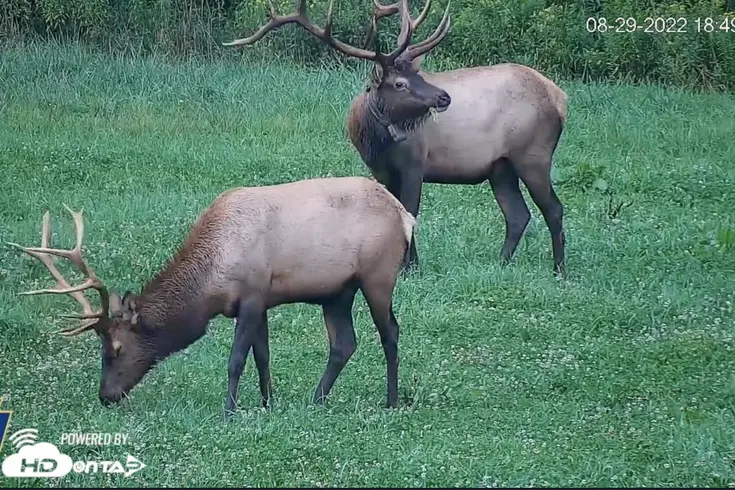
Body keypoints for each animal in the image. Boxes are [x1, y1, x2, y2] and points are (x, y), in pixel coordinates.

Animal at [8, 176, 415, 417]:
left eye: (115, 349)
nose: (105, 396)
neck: (211, 283)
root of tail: (406, 216)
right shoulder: (259, 301)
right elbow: (262, 356)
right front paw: (267, 404)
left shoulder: (251, 296)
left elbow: (236, 359)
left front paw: (229, 411)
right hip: (337, 292)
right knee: (344, 342)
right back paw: (316, 401)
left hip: (377, 276)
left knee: (391, 332)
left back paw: (391, 401)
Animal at [223, 0, 568, 276]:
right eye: (401, 83)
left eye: (418, 74)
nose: (444, 97)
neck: (375, 142)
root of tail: (559, 97)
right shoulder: (381, 170)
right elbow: (394, 211)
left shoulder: (415, 164)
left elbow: (410, 212)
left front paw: (409, 268)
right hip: (500, 166)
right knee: (518, 215)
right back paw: (502, 264)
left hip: (533, 154)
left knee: (553, 208)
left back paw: (559, 269)